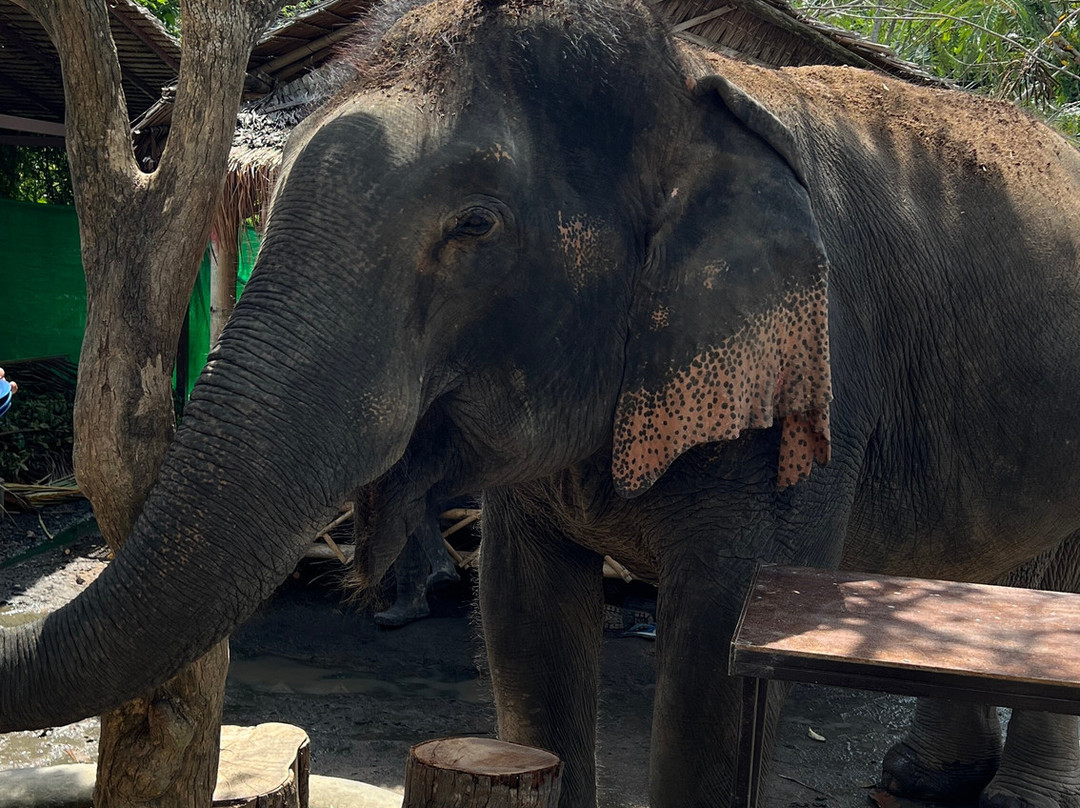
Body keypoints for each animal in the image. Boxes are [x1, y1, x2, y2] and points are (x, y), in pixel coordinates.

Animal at [3, 0, 1080, 806]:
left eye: (474, 226)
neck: (690, 78)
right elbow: (524, 621)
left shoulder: (813, 382)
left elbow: (719, 656)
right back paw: (925, 779)